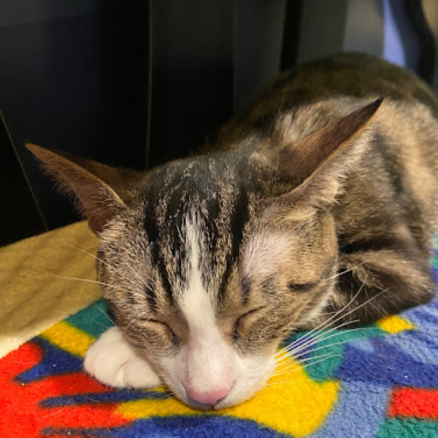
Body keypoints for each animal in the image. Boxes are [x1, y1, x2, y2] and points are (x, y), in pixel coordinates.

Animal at [26, 53, 438, 408]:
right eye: (154, 321)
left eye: (251, 313)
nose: (208, 395)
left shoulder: (398, 263)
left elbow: (324, 294)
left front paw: (125, 352)